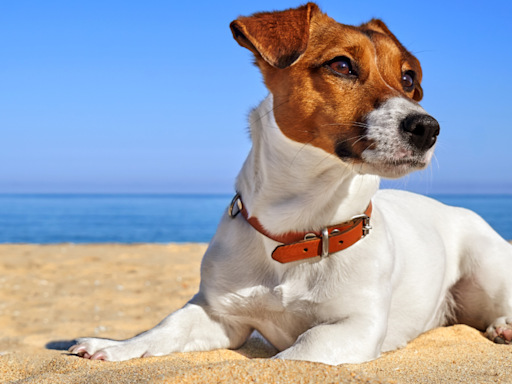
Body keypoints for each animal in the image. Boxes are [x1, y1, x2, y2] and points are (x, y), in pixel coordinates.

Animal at [69, 2, 512, 364]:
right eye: (341, 65)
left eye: (407, 78)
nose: (427, 128)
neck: (300, 230)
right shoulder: (219, 314)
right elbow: (167, 327)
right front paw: (116, 345)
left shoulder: (354, 328)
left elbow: (296, 354)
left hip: (488, 270)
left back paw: (503, 326)